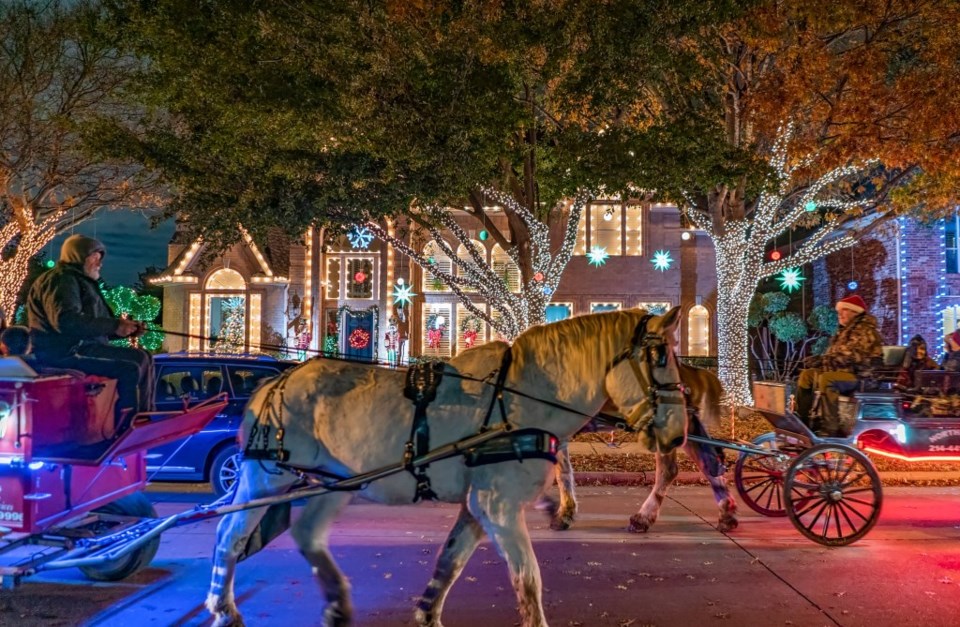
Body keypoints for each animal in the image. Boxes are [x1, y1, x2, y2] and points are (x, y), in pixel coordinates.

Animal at [208, 306, 688, 624]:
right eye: (660, 356)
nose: (679, 435)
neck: (520, 400)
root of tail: (276, 381)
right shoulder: (498, 507)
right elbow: (528, 582)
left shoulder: (477, 508)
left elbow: (449, 565)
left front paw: (427, 613)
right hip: (266, 477)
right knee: (229, 533)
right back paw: (223, 608)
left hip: (337, 483)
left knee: (307, 533)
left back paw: (337, 605)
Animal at [548, 366, 736, 532]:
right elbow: (562, 472)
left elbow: (561, 473)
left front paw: (563, 515)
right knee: (709, 464)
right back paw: (727, 514)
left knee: (668, 470)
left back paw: (642, 518)